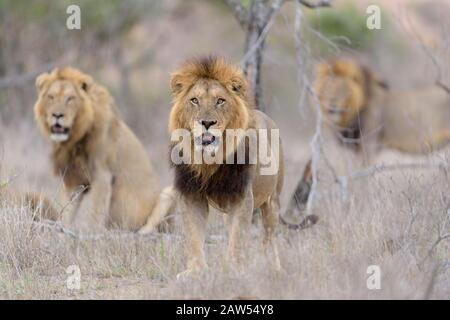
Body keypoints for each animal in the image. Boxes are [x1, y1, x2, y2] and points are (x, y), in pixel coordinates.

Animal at [33, 67, 174, 232]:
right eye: (51, 97)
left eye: (70, 98)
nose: (57, 115)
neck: (74, 139)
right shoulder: (73, 179)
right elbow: (67, 210)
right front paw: (62, 229)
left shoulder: (102, 175)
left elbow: (95, 212)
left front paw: (91, 234)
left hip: (168, 194)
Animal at [284, 58, 450, 218]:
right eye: (326, 88)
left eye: (342, 90)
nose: (332, 104)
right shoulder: (351, 148)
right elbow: (349, 174)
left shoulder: (368, 144)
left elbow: (361, 176)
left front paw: (359, 201)